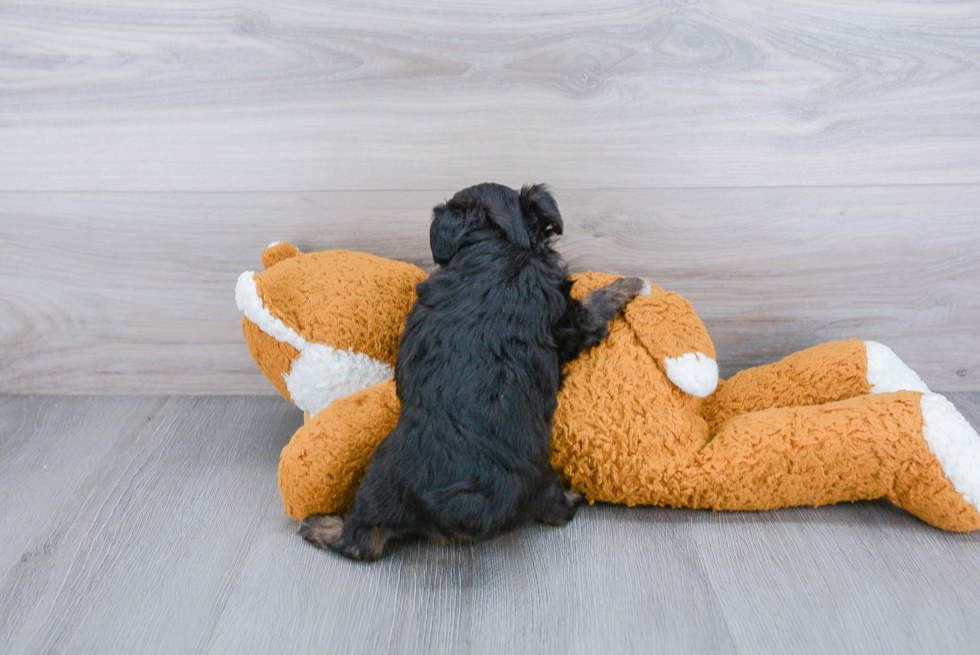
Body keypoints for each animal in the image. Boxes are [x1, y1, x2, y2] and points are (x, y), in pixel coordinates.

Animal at [298, 182, 652, 560]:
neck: (500, 243)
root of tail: (461, 503)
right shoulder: (570, 320)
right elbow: (594, 305)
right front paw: (632, 284)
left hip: (381, 481)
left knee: (363, 541)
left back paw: (319, 526)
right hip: (531, 481)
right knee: (555, 512)